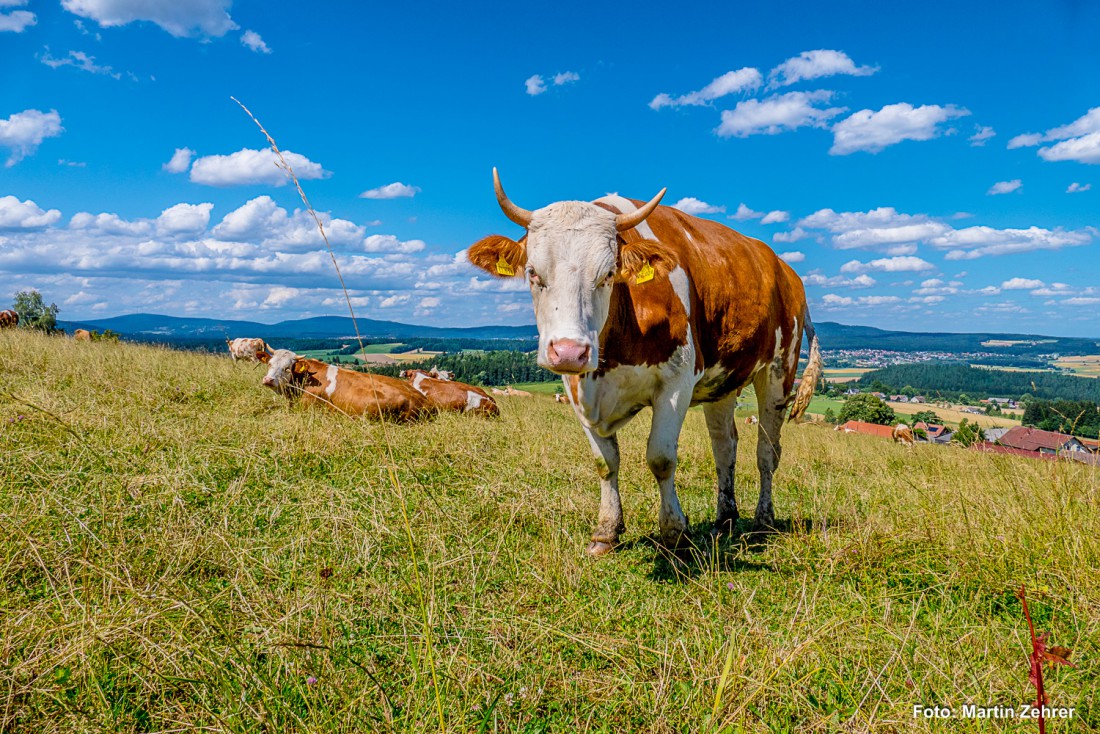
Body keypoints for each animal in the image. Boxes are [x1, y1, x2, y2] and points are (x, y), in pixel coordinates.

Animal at [468, 168, 822, 556]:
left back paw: (762, 522)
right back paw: (725, 520)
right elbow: (605, 462)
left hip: (779, 370)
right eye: (532, 272)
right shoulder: (575, 387)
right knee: (725, 446)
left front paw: (674, 533)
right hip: (724, 381)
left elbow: (661, 459)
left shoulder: (676, 383)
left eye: (608, 274)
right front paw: (606, 531)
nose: (569, 351)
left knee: (767, 452)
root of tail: (785, 270)